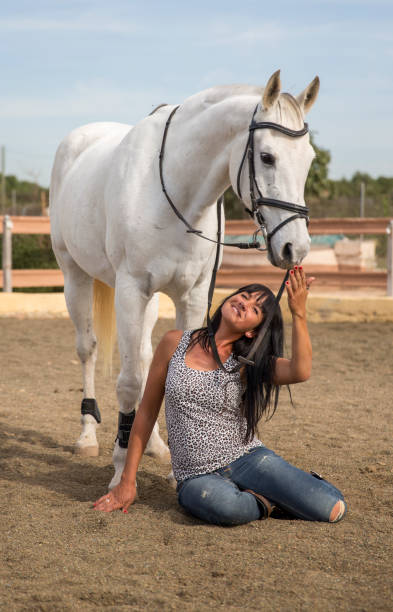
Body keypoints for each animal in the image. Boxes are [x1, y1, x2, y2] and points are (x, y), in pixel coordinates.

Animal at [49, 69, 318, 488]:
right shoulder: (130, 291)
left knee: (146, 359)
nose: (296, 248)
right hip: (74, 276)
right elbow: (129, 381)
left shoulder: (191, 295)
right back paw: (87, 436)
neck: (174, 190)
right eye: (267, 156)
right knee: (88, 349)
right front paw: (120, 467)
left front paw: (178, 472)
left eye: (309, 160)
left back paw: (154, 443)